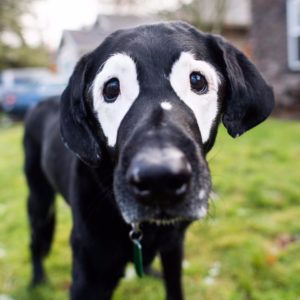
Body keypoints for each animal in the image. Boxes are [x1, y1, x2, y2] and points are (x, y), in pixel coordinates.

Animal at [24, 21, 274, 300]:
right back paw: (37, 280)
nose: (159, 179)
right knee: (34, 242)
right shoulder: (89, 274)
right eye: (111, 88)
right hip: (39, 199)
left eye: (197, 80)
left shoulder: (174, 247)